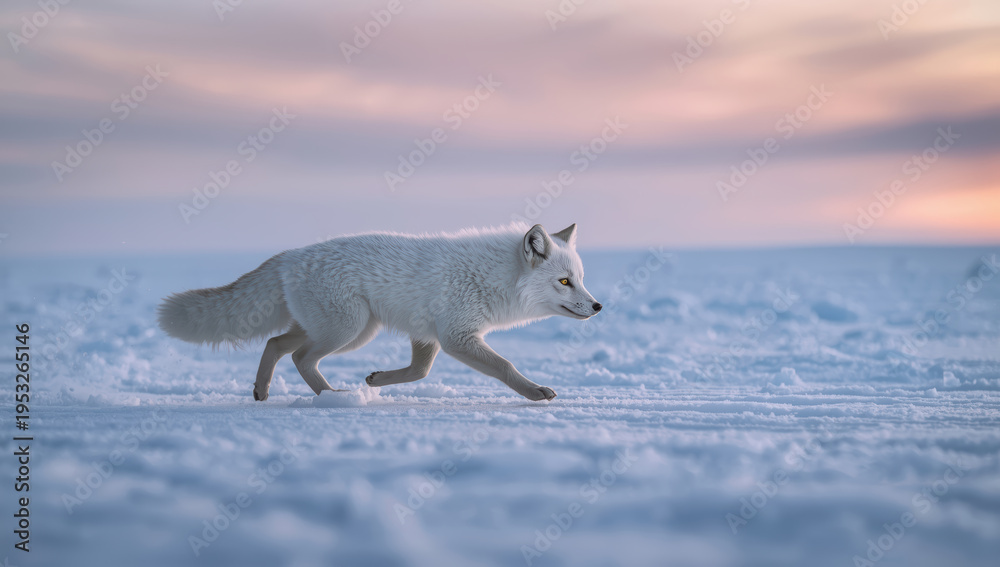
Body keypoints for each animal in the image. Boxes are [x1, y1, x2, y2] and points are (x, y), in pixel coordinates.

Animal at [157, 223, 602, 402]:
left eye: (580, 279)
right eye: (565, 282)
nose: (598, 306)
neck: (492, 277)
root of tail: (290, 255)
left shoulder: (428, 336)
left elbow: (418, 372)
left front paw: (377, 380)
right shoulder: (456, 337)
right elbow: (506, 366)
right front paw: (535, 392)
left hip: (345, 329)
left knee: (275, 344)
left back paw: (263, 391)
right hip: (347, 330)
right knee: (299, 356)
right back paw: (330, 397)